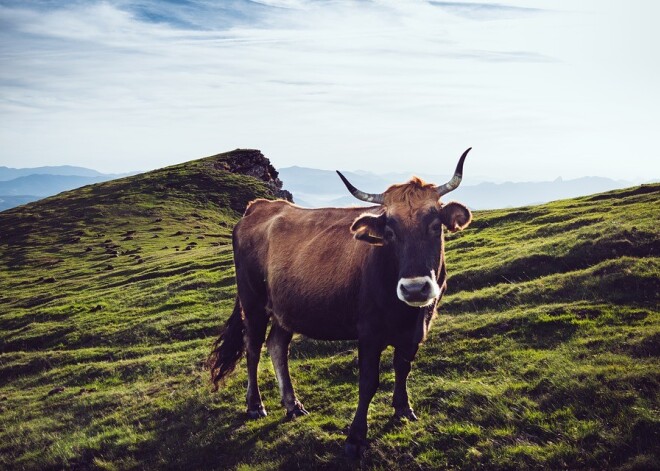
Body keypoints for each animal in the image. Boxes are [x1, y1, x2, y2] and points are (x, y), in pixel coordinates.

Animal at [209, 148, 472, 458]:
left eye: (434, 226)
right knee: (252, 348)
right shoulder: (369, 332)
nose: (415, 288)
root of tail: (259, 207)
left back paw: (292, 404)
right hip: (253, 303)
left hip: (285, 308)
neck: (405, 314)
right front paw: (356, 437)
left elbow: (403, 368)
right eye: (390, 231)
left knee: (276, 346)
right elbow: (368, 382)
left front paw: (403, 409)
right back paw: (255, 405)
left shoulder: (417, 328)